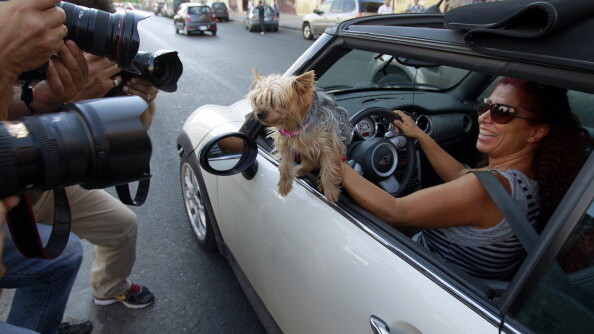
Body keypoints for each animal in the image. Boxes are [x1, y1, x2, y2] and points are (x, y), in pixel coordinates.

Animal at [246, 69, 350, 202]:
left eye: (274, 101)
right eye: (258, 100)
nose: (259, 114)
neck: (295, 125)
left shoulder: (330, 146)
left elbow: (329, 168)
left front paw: (331, 191)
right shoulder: (285, 142)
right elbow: (285, 165)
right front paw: (284, 185)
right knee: (310, 162)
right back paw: (300, 169)